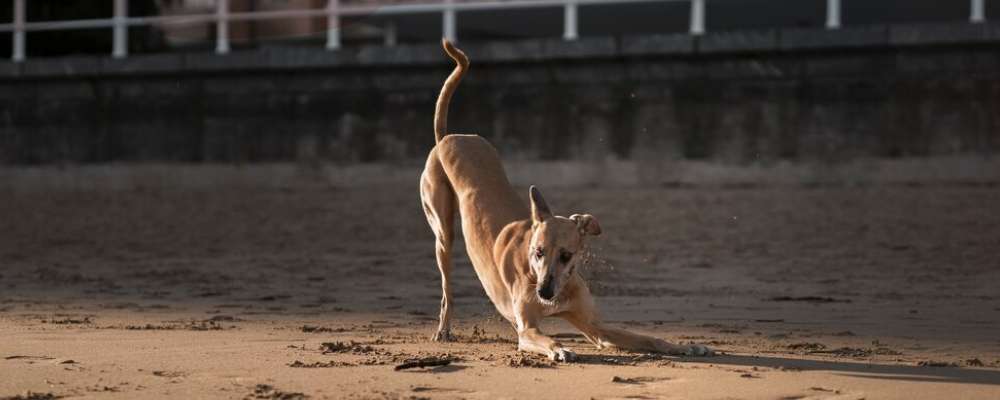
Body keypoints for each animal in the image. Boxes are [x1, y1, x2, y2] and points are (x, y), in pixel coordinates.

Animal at [418, 39, 716, 362]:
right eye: (537, 252)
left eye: (566, 255)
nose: (545, 294)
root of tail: (447, 137)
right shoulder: (528, 330)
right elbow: (543, 338)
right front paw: (559, 348)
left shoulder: (597, 329)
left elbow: (648, 338)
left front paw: (687, 346)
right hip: (443, 234)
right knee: (447, 290)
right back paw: (443, 330)